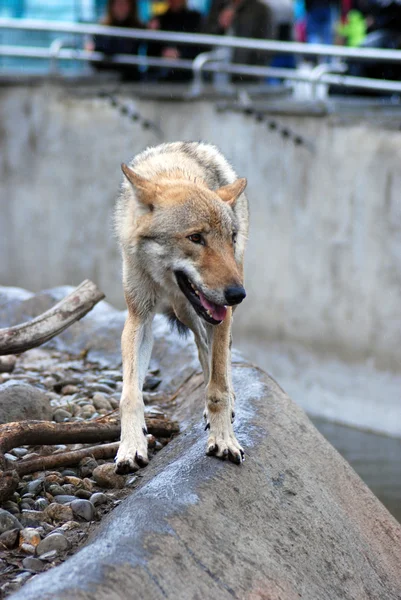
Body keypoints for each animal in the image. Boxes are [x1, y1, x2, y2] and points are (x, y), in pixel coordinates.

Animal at [114, 142, 248, 474]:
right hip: (187, 312)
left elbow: (218, 388)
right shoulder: (139, 316)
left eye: (230, 238)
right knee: (202, 347)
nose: (238, 294)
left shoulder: (222, 315)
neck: (174, 170)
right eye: (195, 237)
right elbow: (130, 395)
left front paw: (224, 440)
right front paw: (131, 447)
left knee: (217, 355)